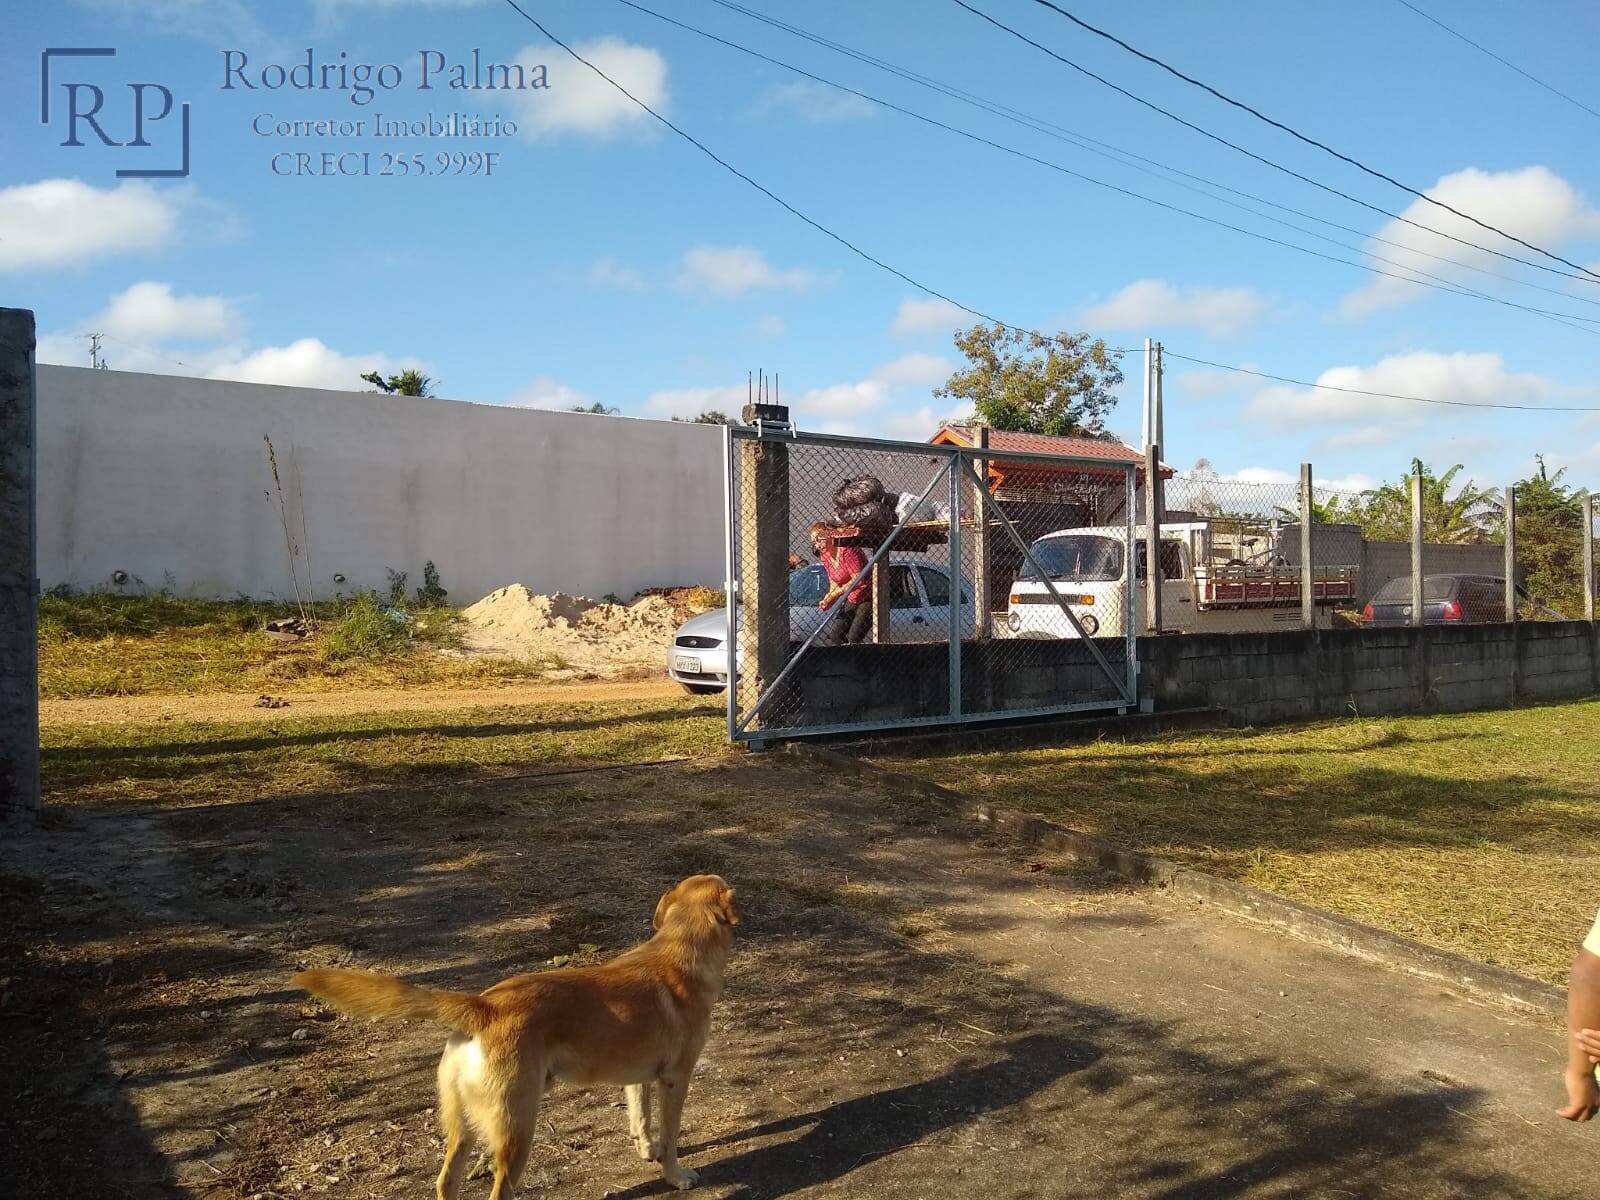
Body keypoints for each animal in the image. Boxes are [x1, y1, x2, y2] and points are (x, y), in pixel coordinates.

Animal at [292, 876, 736, 1200]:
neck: (680, 949)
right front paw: (674, 1174)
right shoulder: (675, 1079)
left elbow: (640, 1118)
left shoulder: (638, 1077)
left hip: (463, 1128)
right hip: (517, 1132)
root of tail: (484, 1005)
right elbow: (671, 1134)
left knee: (445, 1181)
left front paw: (647, 1150)